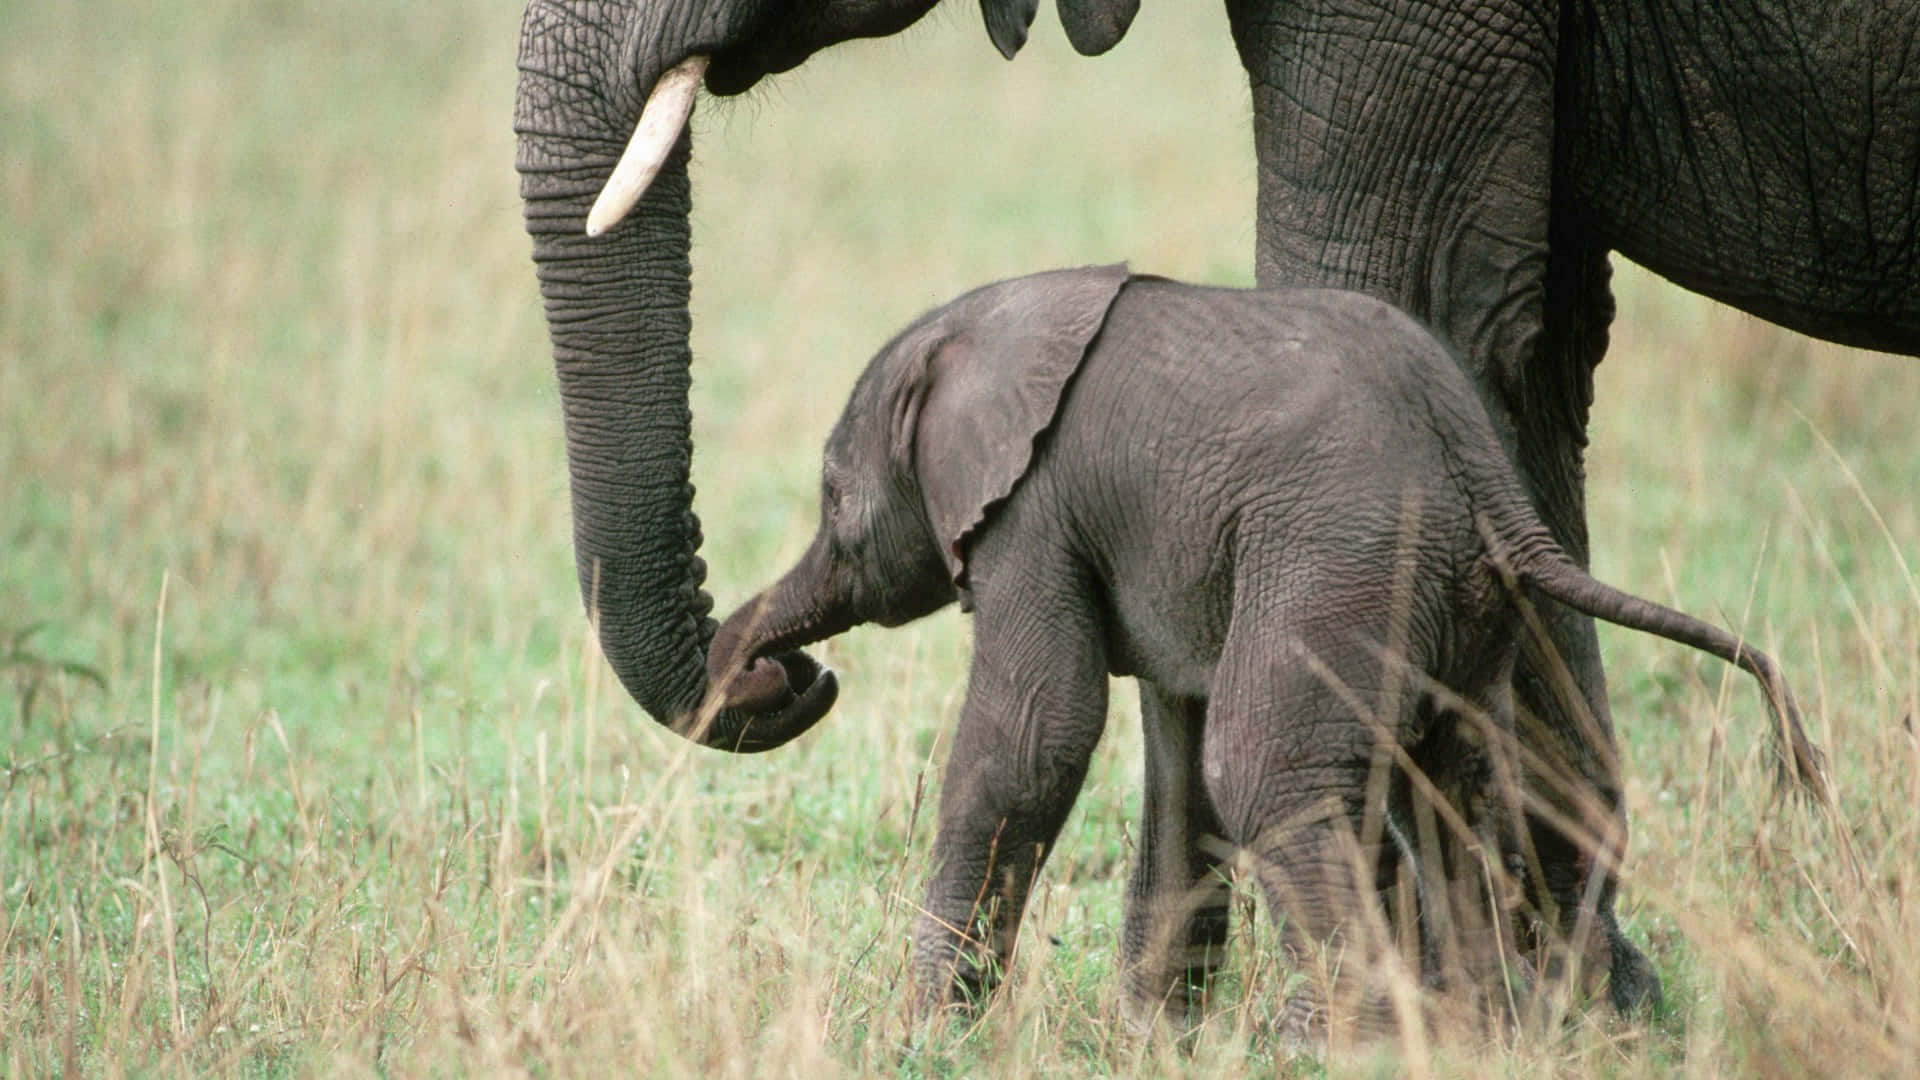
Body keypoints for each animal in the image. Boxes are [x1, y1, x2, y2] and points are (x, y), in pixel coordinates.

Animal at [701, 264, 1829, 1041]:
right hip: (1450, 595)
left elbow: (1036, 741)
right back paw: (1479, 1032)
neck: (992, 324)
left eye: (833, 499)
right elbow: (1169, 766)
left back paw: (1336, 1045)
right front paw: (1154, 1041)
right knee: (1450, 776)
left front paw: (930, 1035)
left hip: (1338, 552)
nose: (792, 673)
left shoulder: (1029, 515)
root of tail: (1485, 471)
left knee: (1263, 766)